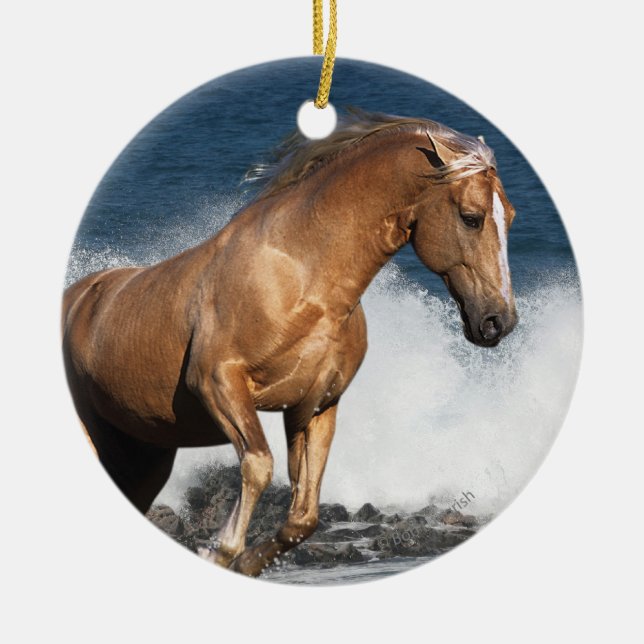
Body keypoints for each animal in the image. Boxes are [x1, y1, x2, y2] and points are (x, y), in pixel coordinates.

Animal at [62, 112, 517, 577]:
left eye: (512, 217)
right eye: (472, 217)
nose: (498, 321)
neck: (301, 279)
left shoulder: (314, 406)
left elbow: (303, 516)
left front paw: (247, 562)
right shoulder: (217, 382)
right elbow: (259, 465)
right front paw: (219, 550)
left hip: (146, 455)